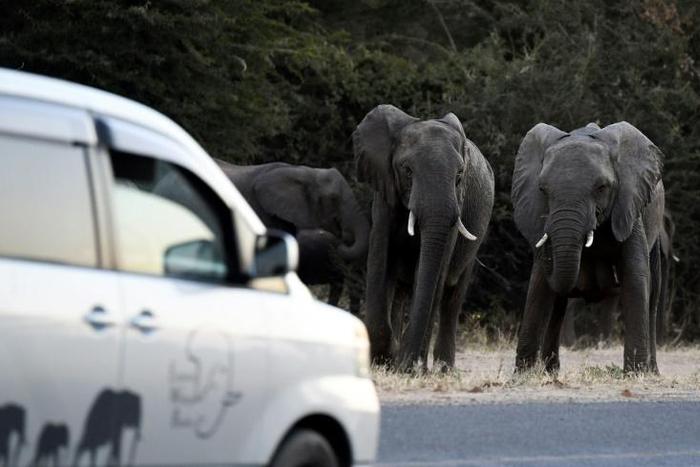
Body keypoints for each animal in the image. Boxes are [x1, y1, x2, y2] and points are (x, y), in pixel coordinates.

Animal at [353, 104, 495, 371]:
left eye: (460, 175)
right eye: (407, 170)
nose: (410, 364)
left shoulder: (457, 205)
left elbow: (432, 273)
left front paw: (407, 366)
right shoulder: (385, 192)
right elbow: (380, 260)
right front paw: (382, 359)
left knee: (451, 298)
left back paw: (441, 369)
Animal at [511, 121, 664, 373]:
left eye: (602, 187)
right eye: (542, 189)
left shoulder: (629, 208)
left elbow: (635, 277)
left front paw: (635, 374)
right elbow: (539, 286)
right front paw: (522, 375)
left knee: (652, 298)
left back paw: (653, 372)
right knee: (558, 306)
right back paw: (551, 372)